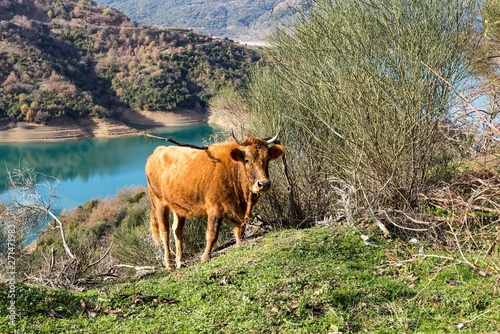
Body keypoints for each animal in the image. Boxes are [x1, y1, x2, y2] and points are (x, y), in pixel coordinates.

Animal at [146, 131, 286, 268]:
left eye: (267, 159)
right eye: (247, 160)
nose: (264, 184)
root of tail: (158, 151)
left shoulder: (236, 211)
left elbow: (238, 230)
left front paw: (240, 245)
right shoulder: (215, 209)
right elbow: (212, 235)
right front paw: (204, 257)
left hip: (178, 206)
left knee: (177, 230)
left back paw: (180, 262)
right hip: (159, 202)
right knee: (164, 231)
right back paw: (169, 264)